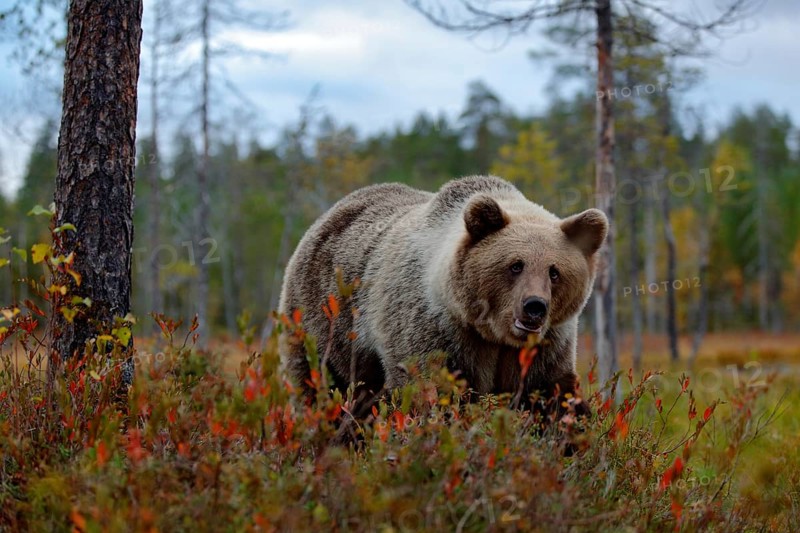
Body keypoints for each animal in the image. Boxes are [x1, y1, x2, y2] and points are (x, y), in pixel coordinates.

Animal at [278, 175, 608, 419]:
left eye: (555, 272)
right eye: (516, 265)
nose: (535, 306)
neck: (493, 335)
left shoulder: (547, 347)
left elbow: (555, 394)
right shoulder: (435, 330)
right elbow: (431, 389)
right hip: (320, 321)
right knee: (318, 384)